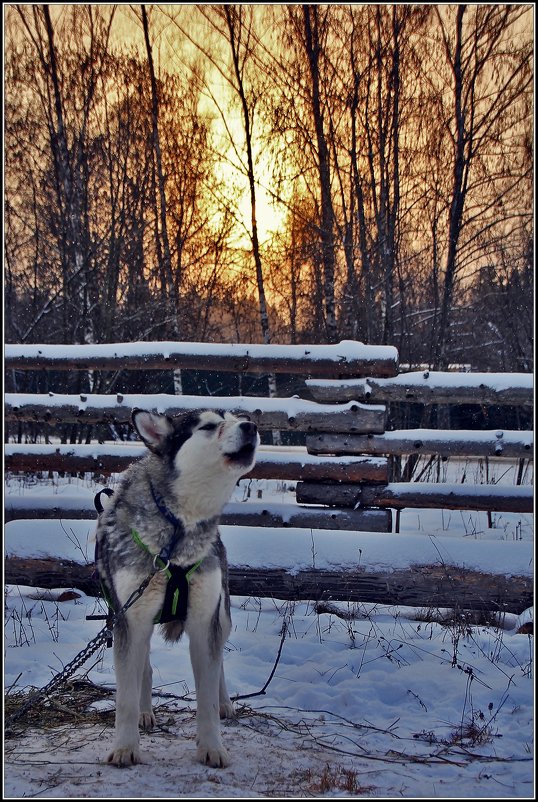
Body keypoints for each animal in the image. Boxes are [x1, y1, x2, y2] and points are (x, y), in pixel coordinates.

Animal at [94, 410, 258, 764]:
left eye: (236, 417)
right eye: (208, 426)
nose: (251, 425)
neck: (178, 533)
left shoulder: (203, 621)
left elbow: (206, 696)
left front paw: (212, 747)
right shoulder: (130, 620)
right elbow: (125, 697)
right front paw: (125, 747)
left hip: (221, 614)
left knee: (219, 663)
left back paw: (225, 704)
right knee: (143, 668)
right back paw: (145, 712)